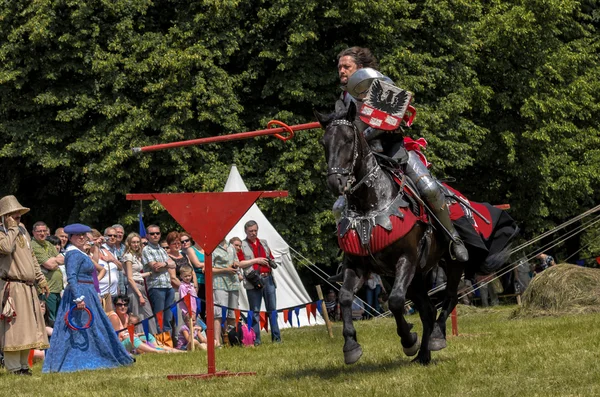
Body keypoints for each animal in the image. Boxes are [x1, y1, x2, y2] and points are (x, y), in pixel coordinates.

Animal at [316, 101, 516, 366]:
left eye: (348, 140)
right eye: (324, 143)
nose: (335, 182)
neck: (370, 204)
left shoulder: (407, 259)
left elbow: (396, 301)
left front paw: (408, 340)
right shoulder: (358, 265)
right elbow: (346, 298)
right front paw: (351, 346)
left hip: (451, 265)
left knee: (449, 297)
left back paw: (437, 338)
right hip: (416, 276)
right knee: (428, 309)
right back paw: (423, 354)